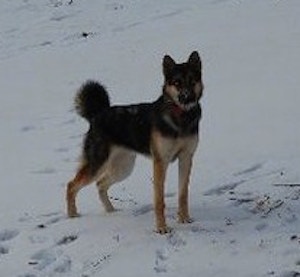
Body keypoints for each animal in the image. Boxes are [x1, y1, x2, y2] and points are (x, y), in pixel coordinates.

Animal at [67, 50, 204, 232]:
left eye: (192, 80)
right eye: (177, 82)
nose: (186, 97)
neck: (181, 116)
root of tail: (97, 114)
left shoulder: (186, 158)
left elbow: (183, 194)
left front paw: (184, 219)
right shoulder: (161, 162)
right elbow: (159, 200)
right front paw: (161, 228)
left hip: (123, 166)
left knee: (100, 184)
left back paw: (111, 211)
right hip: (98, 163)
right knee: (71, 185)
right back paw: (72, 215)